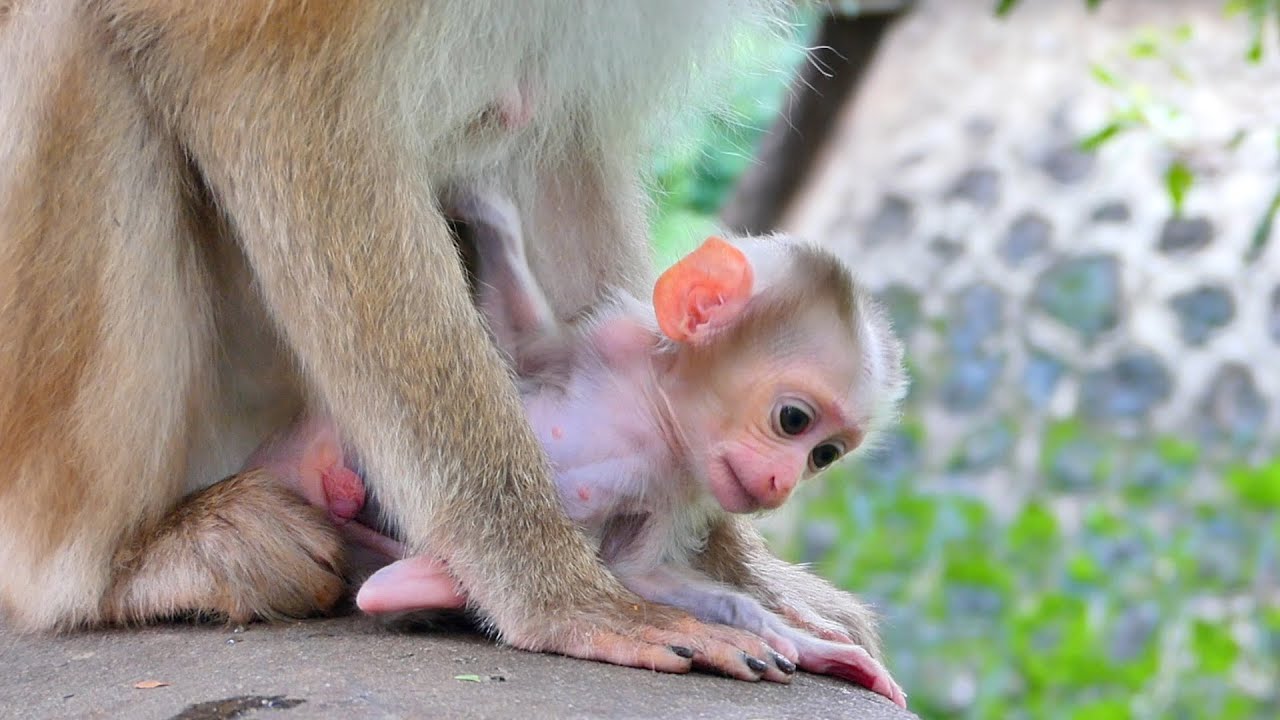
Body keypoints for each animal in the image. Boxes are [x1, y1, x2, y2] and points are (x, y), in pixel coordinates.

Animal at [0, 0, 893, 686]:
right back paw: (116, 568)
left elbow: (561, 129)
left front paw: (742, 578)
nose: (778, 482)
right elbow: (273, 91)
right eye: (792, 420)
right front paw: (564, 596)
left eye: (824, 454)